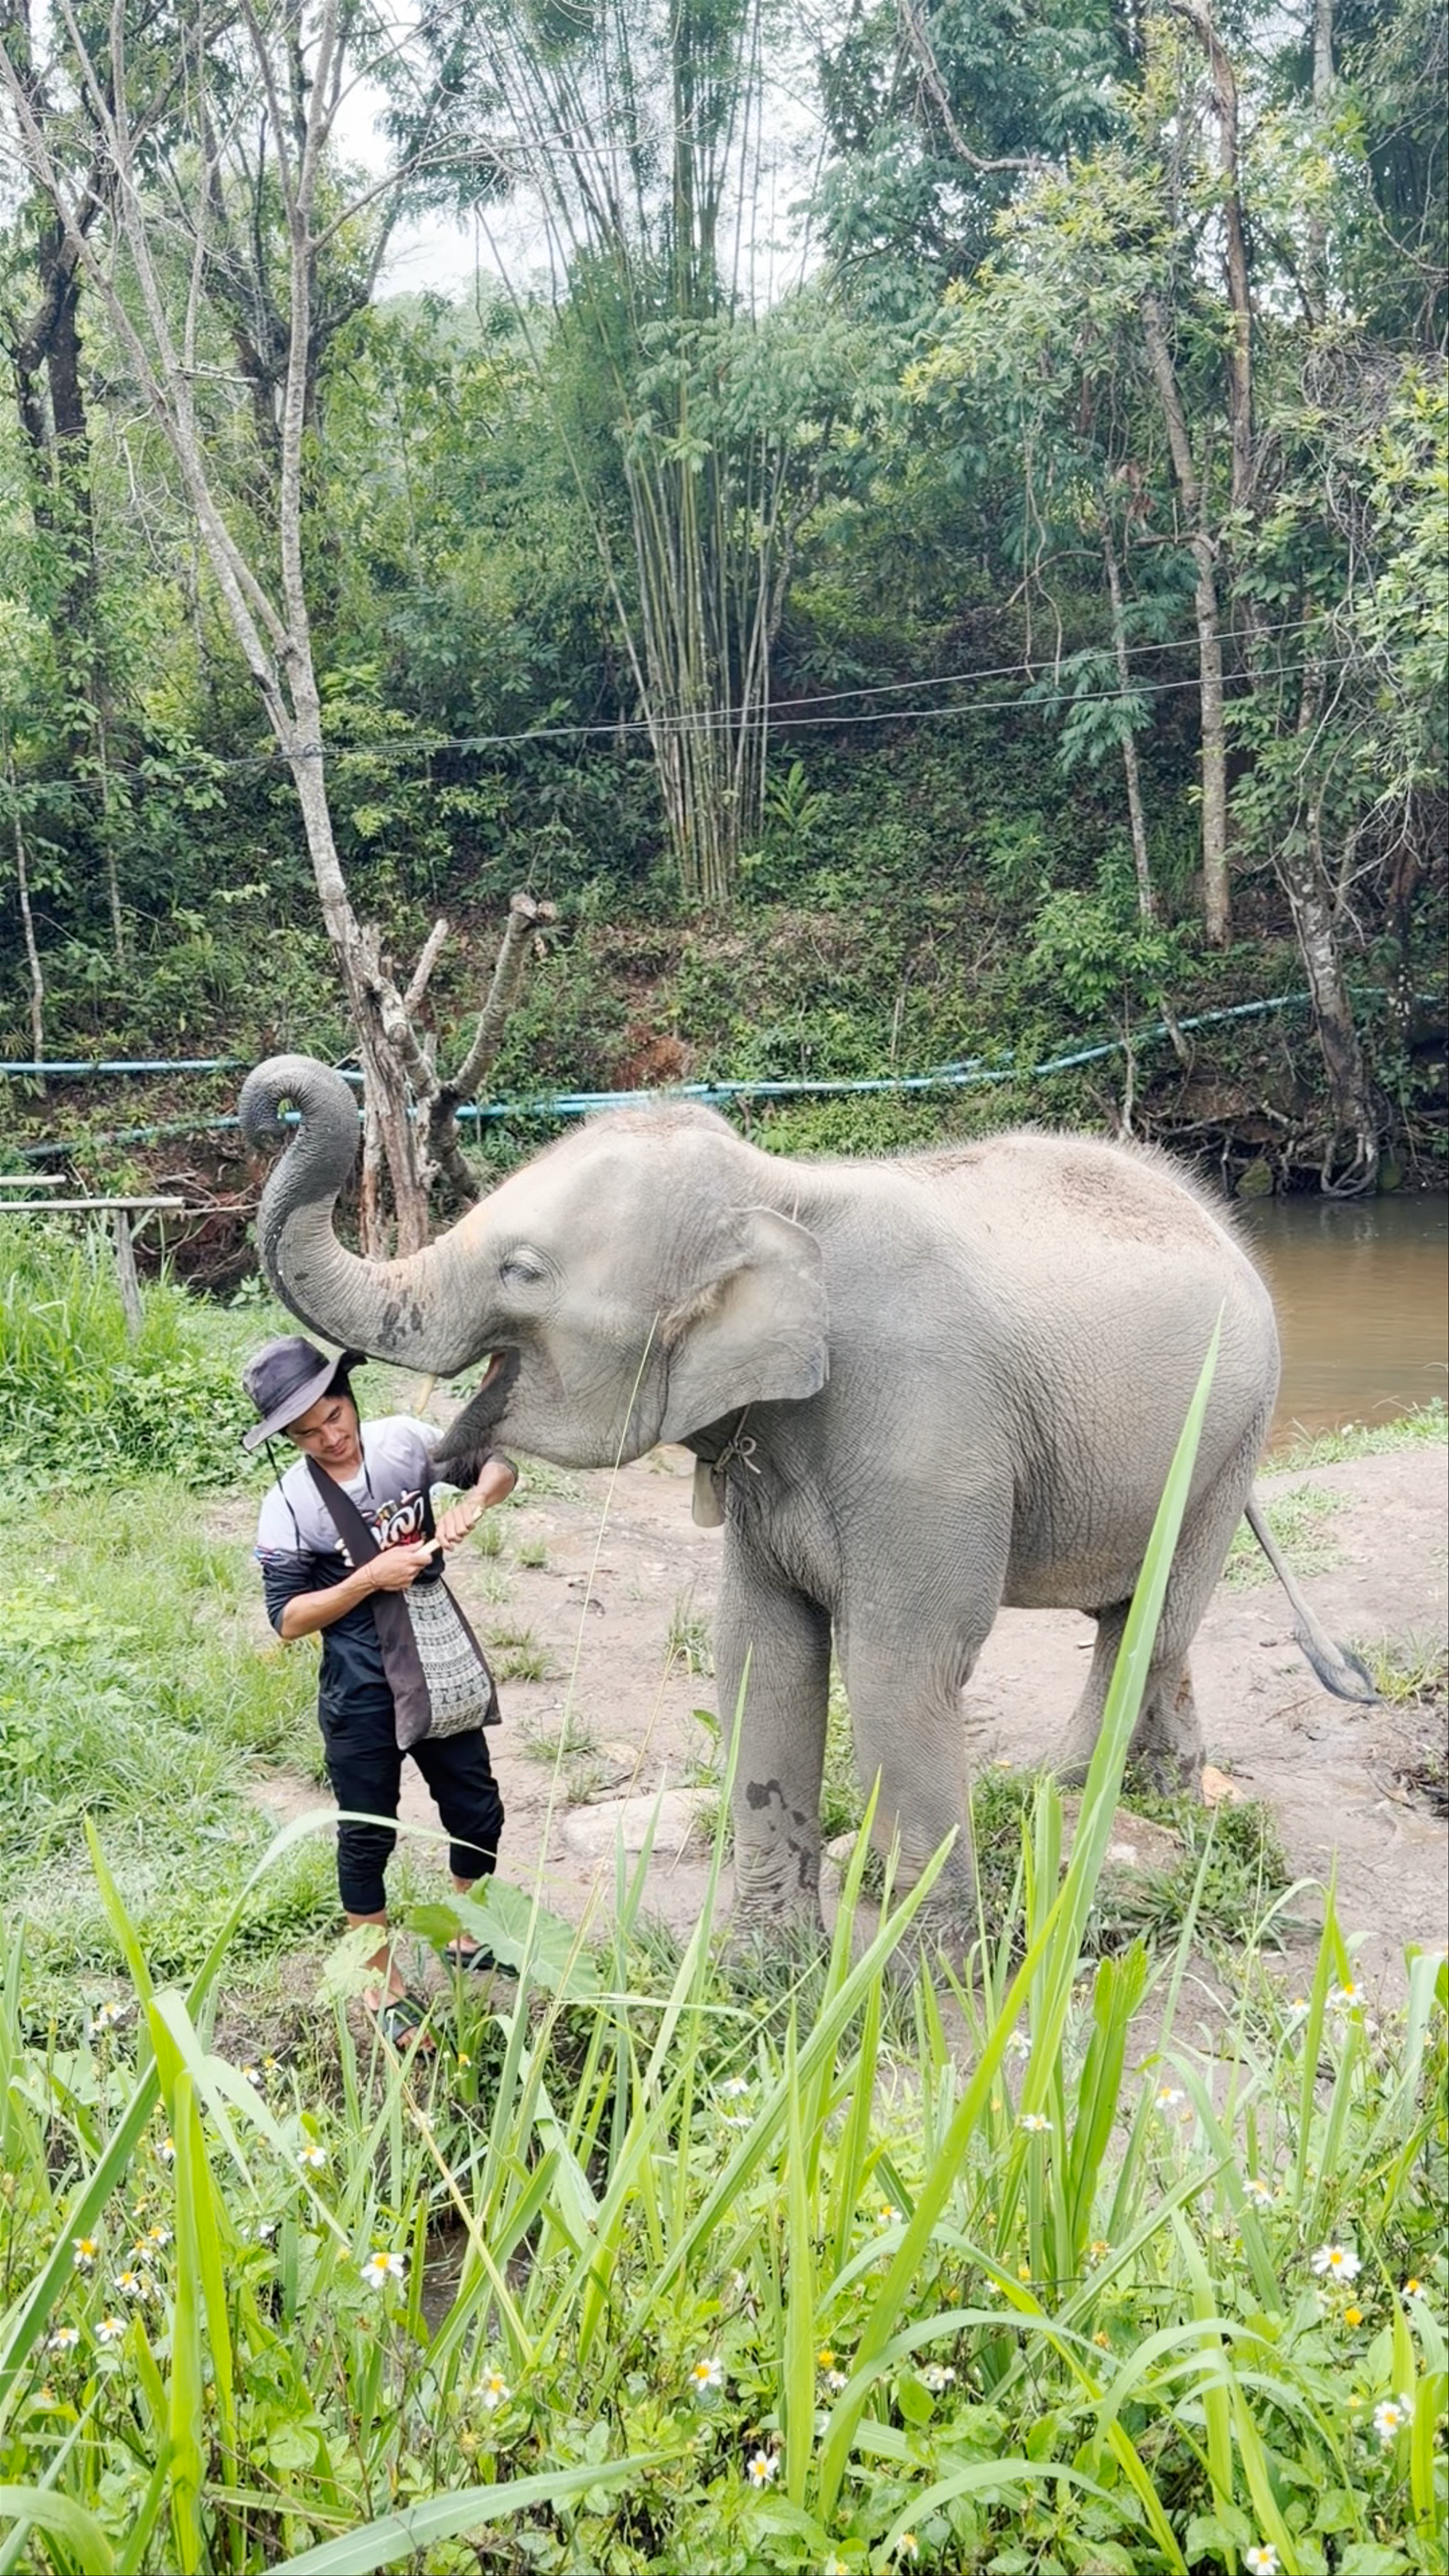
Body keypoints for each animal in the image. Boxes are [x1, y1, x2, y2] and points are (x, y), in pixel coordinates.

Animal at [239, 1053, 1375, 1948]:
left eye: (522, 1270)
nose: (271, 1101)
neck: (781, 1194)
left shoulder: (928, 1429)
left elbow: (900, 1668)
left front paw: (917, 1989)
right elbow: (761, 1654)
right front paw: (763, 1973)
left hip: (1233, 1430)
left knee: (1150, 1620)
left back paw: (1085, 1807)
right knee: (1140, 1623)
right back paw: (1131, 1799)